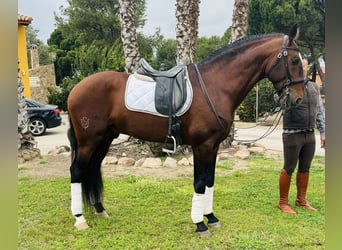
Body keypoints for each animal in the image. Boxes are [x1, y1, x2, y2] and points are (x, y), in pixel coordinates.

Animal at [66, 25, 304, 236]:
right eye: (294, 60)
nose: (298, 99)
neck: (215, 86)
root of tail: (76, 89)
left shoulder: (213, 147)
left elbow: (209, 181)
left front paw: (212, 218)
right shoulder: (202, 146)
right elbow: (199, 183)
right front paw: (200, 224)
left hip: (104, 139)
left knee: (92, 169)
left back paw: (100, 211)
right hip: (88, 141)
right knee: (77, 172)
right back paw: (80, 220)